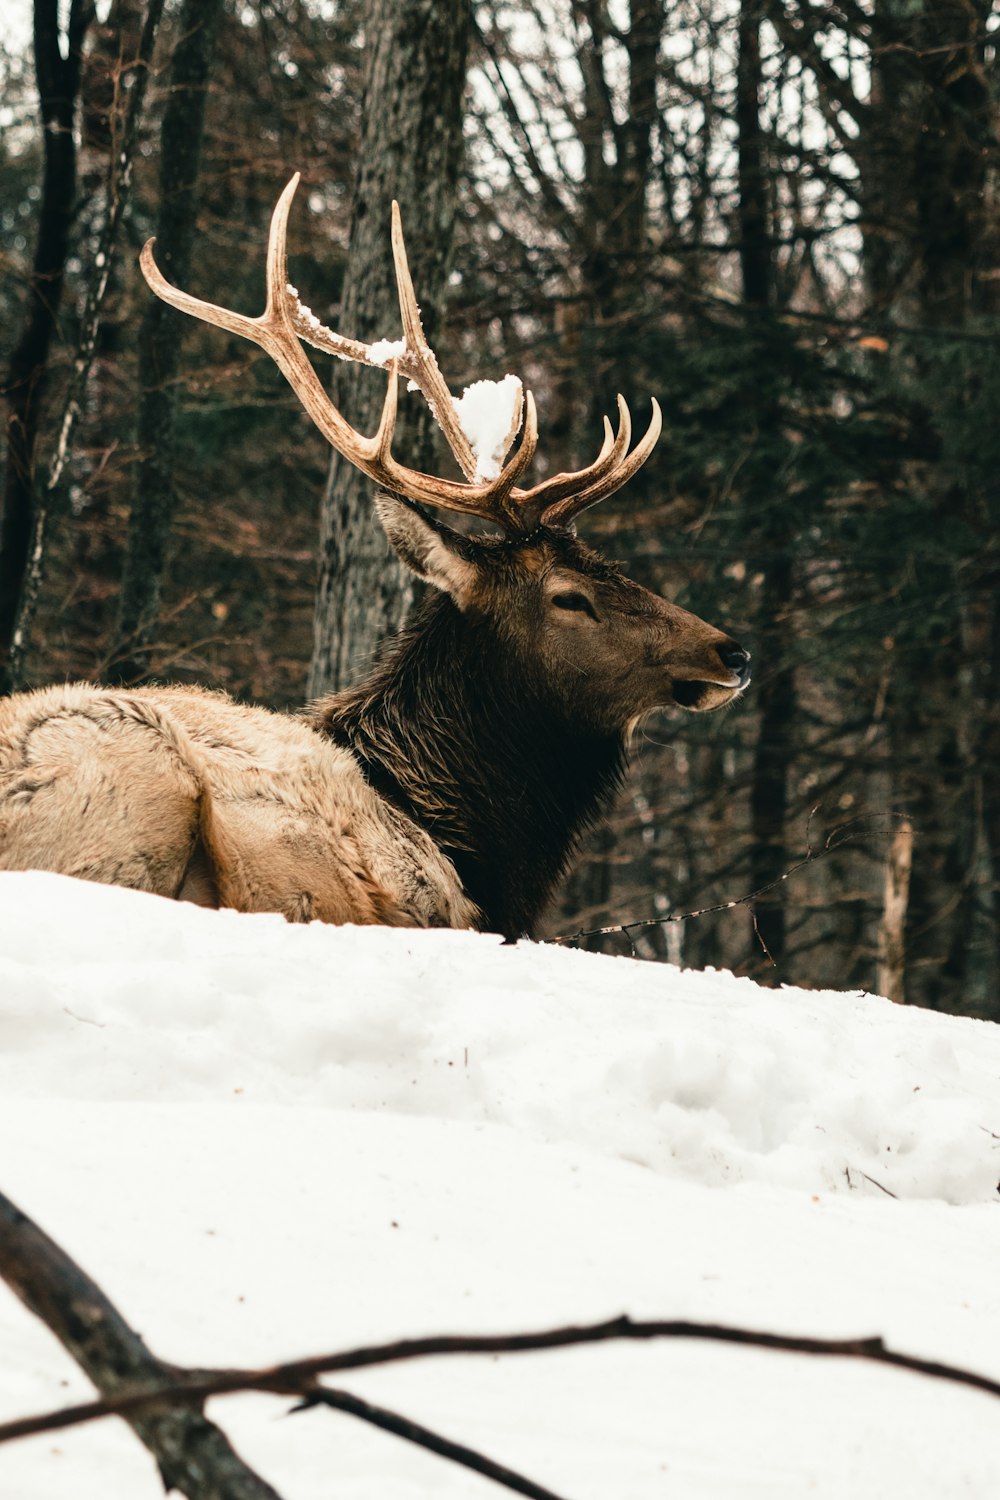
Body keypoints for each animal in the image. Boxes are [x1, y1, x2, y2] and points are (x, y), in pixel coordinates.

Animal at [0, 172, 746, 936]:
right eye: (570, 595)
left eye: (614, 566)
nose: (732, 651)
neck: (474, 846)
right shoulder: (436, 904)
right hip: (131, 777)